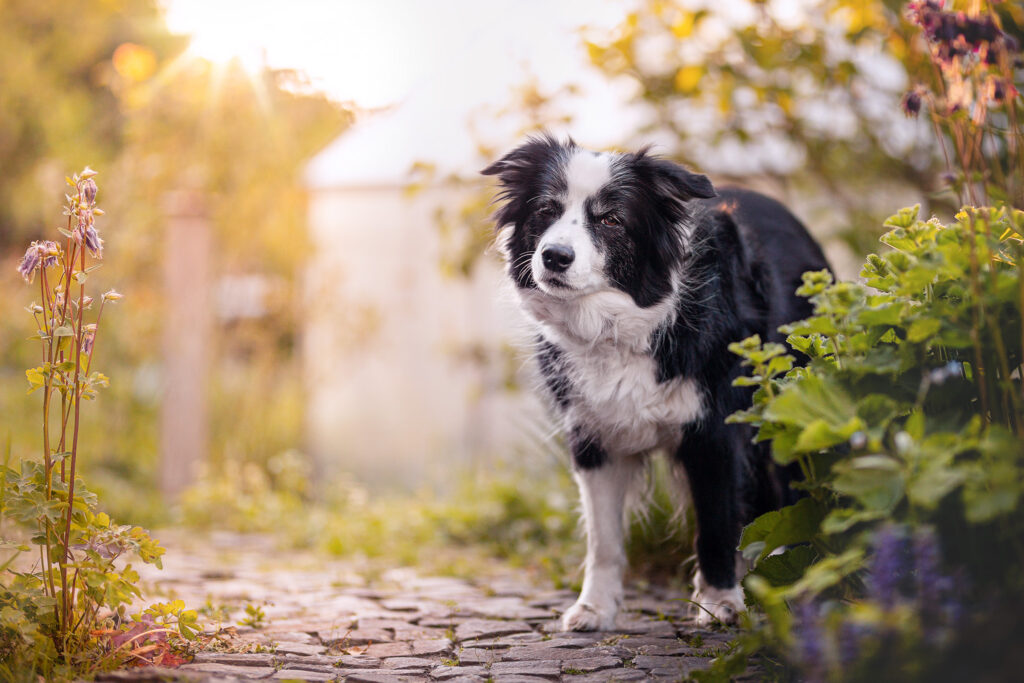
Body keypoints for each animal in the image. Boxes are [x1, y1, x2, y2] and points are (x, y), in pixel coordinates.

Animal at [483, 136, 827, 634]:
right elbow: (604, 539)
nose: (554, 257)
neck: (621, 325)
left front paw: (721, 604)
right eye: (546, 210)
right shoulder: (593, 435)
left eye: (611, 219)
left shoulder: (715, 431)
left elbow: (716, 526)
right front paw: (595, 609)